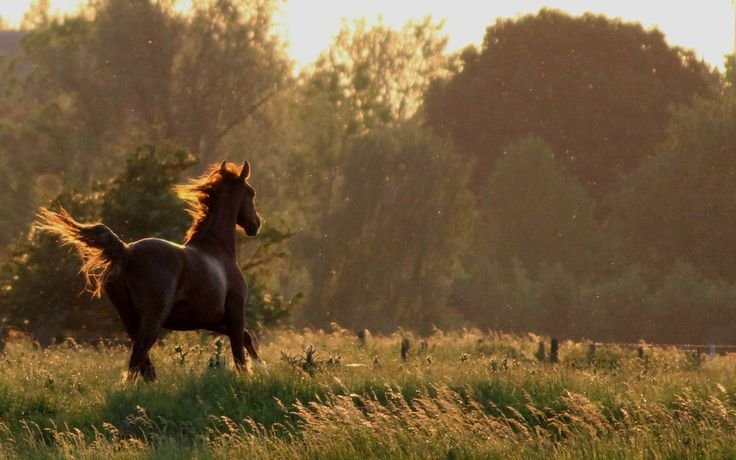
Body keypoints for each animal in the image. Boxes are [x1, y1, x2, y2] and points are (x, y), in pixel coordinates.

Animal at [37, 160, 262, 381]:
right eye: (251, 192)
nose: (256, 224)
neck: (217, 248)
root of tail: (126, 252)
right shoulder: (235, 312)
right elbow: (240, 352)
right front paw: (254, 373)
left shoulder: (212, 319)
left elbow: (246, 337)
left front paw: (260, 367)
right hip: (153, 317)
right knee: (139, 354)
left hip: (130, 318)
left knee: (142, 360)